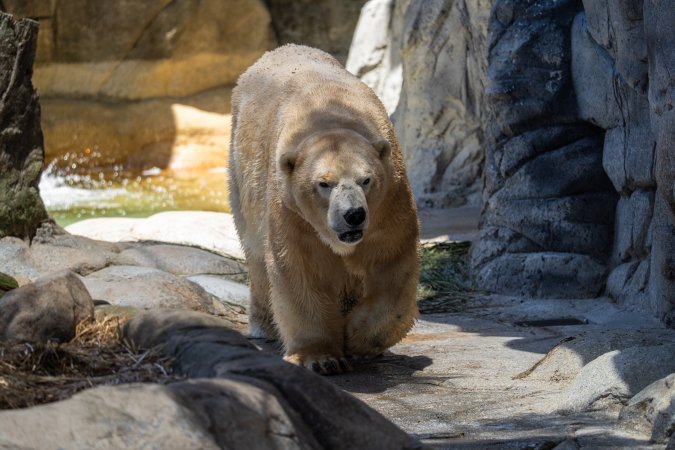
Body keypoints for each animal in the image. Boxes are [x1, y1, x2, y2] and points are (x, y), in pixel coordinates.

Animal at [229, 44, 419, 373]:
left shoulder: (389, 202)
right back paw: (263, 327)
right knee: (255, 252)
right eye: (323, 183)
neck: (330, 113)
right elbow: (301, 269)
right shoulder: (291, 209)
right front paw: (320, 358)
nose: (353, 215)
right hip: (240, 176)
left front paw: (358, 339)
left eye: (366, 179)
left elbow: (391, 263)